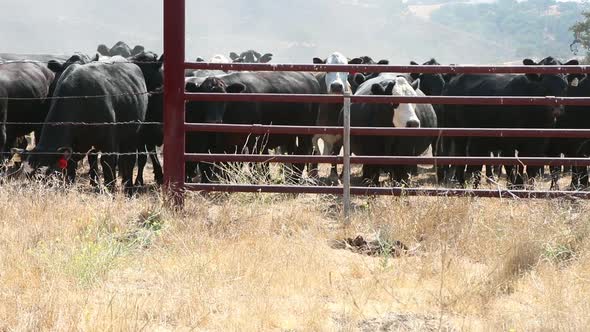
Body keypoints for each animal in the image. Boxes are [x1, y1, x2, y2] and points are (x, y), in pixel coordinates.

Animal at [186, 71, 322, 183]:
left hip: (305, 133)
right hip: (290, 136)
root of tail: (310, 77)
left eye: (224, 97)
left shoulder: (248, 142)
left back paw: (295, 180)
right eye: (203, 98)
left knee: (303, 153)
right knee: (294, 153)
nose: (214, 121)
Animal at [446, 55, 576, 188]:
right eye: (544, 85)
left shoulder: (538, 143)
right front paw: (516, 187)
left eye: (565, 86)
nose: (557, 109)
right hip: (458, 133)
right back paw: (461, 184)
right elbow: (512, 168)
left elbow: (531, 169)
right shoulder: (508, 142)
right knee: (460, 157)